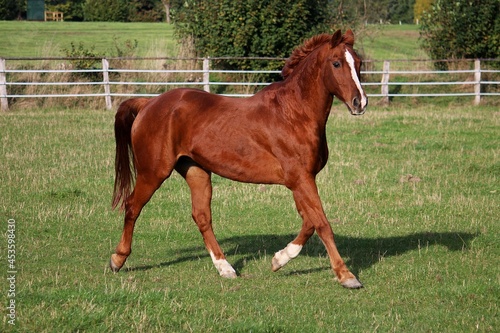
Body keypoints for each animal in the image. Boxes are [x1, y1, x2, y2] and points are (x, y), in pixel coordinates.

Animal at [109, 29, 368, 288]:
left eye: (358, 63)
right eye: (336, 63)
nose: (360, 102)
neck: (294, 113)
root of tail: (148, 103)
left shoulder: (300, 181)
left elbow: (309, 222)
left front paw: (278, 260)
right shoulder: (301, 179)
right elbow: (322, 223)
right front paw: (347, 276)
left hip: (196, 171)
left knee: (202, 217)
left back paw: (225, 268)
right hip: (153, 172)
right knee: (132, 206)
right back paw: (117, 259)